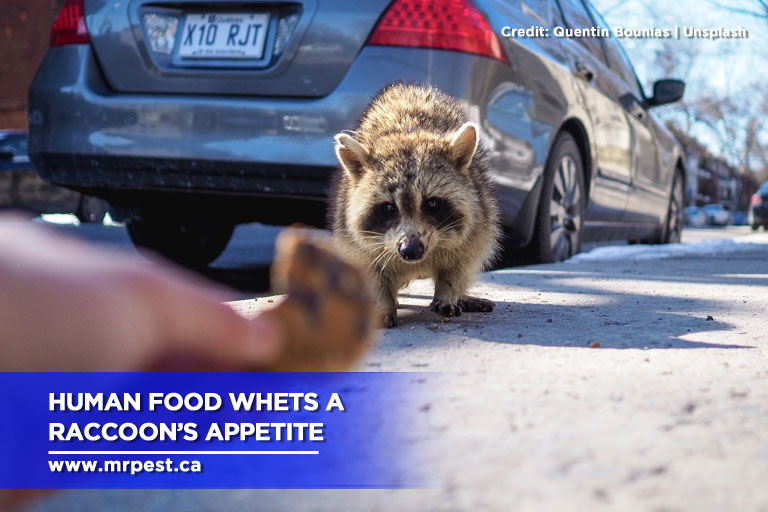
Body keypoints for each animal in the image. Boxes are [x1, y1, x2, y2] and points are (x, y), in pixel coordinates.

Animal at [329, 83, 501, 328]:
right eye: (389, 208)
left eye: (432, 203)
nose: (410, 250)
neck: (408, 130)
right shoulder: (351, 236)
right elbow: (370, 270)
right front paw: (383, 303)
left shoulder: (480, 218)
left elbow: (462, 262)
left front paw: (448, 292)